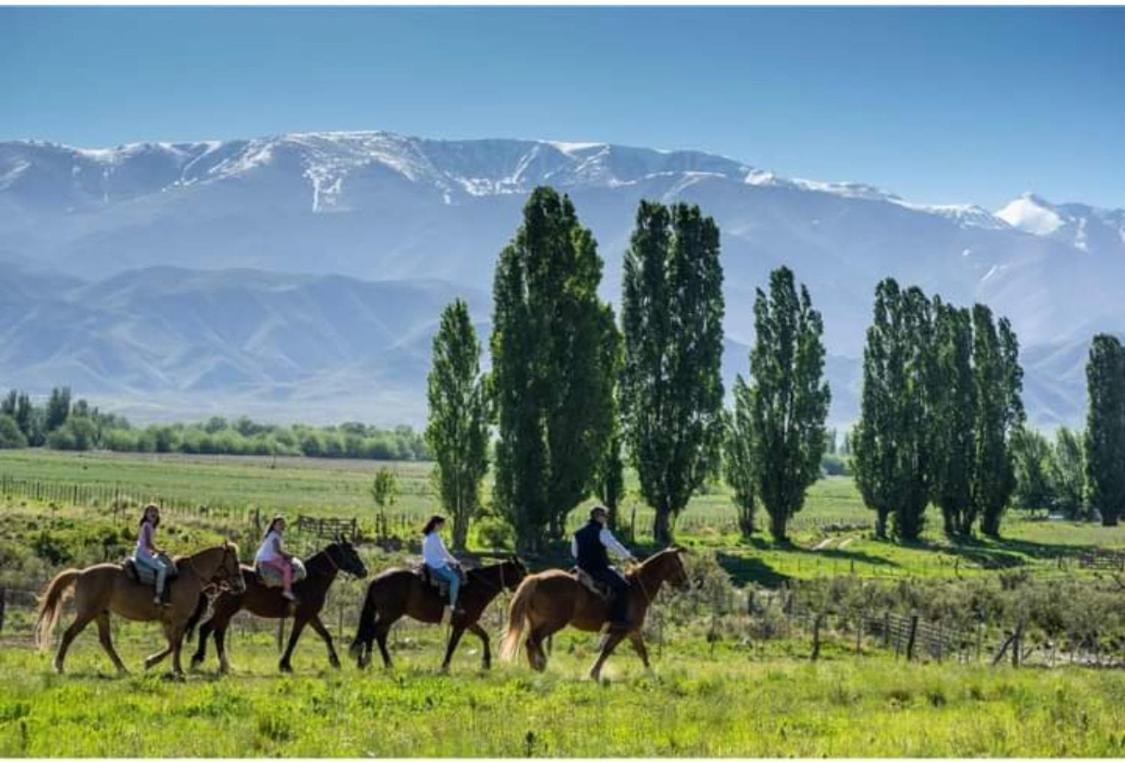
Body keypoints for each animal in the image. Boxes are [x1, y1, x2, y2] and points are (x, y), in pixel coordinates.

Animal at [35, 540, 244, 679]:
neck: (191, 575)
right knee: (69, 635)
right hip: (86, 614)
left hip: (101, 614)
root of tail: (80, 573)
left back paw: (123, 669)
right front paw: (177, 670)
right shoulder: (179, 620)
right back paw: (59, 666)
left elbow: (171, 645)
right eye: (235, 562)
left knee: (106, 641)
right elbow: (176, 645)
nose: (241, 586)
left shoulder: (168, 621)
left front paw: (150, 662)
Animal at [189, 535, 369, 670]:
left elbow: (326, 635)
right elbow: (293, 640)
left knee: (212, 632)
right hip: (225, 611)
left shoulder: (311, 616)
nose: (364, 571)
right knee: (209, 631)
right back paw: (203, 660)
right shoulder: (303, 617)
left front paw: (335, 662)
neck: (311, 578)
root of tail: (219, 579)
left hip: (225, 612)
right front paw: (285, 664)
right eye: (353, 553)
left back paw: (219, 664)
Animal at [348, 553, 524, 670]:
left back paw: (383, 663)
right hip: (389, 615)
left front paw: (486, 663)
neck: (475, 586)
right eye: (522, 572)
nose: (526, 586)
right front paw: (445, 666)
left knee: (378, 635)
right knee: (373, 633)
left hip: (388, 616)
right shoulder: (461, 625)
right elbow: (452, 645)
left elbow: (485, 636)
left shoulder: (470, 622)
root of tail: (377, 579)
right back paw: (365, 661)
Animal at [504, 547, 693, 679]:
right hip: (554, 622)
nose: (687, 585)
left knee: (530, 641)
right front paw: (594, 673)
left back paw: (535, 667)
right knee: (534, 640)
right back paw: (541, 665)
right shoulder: (622, 630)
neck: (636, 588)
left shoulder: (633, 631)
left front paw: (651, 675)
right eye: (679, 563)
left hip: (538, 621)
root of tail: (537, 578)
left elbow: (642, 652)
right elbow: (607, 650)